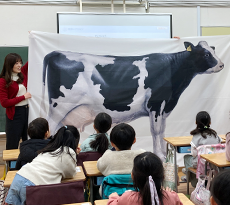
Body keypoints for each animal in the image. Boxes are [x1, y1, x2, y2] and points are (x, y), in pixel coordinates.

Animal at [40, 41, 224, 159]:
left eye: (213, 50)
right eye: (206, 53)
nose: (222, 65)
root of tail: (56, 52)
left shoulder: (164, 106)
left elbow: (162, 131)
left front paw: (164, 154)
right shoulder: (156, 104)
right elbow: (156, 130)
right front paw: (159, 155)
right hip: (59, 106)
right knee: (51, 127)